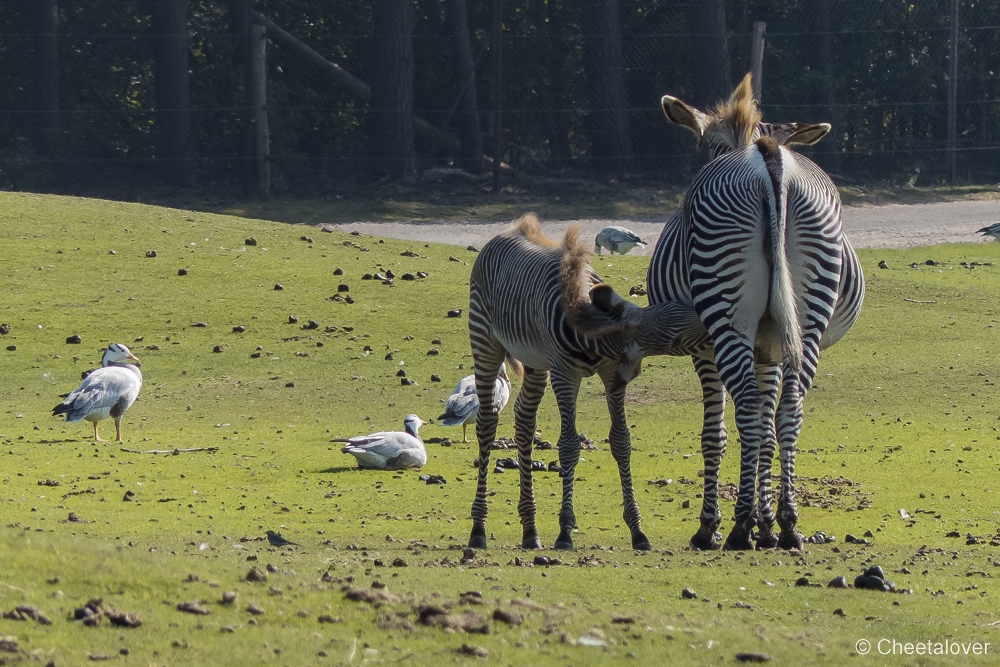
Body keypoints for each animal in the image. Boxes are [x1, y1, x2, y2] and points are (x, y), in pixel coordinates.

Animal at [464, 214, 708, 552]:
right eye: (675, 337)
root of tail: (507, 231)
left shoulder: (612, 374)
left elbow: (621, 442)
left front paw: (637, 531)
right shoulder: (565, 374)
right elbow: (568, 445)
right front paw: (565, 531)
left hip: (534, 361)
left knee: (524, 423)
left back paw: (530, 531)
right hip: (485, 341)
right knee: (487, 424)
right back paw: (478, 528)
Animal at [644, 75, 864, 552]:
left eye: (706, 147)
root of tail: (768, 156)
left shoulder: (703, 348)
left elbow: (717, 434)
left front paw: (713, 525)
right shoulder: (772, 347)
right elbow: (766, 426)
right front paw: (768, 524)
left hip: (725, 311)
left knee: (745, 406)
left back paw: (739, 528)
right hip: (809, 313)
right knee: (790, 410)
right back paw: (788, 524)